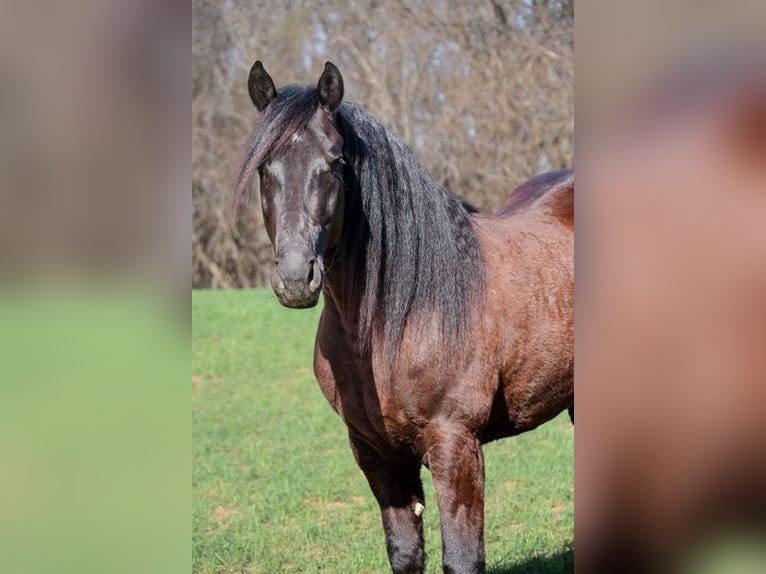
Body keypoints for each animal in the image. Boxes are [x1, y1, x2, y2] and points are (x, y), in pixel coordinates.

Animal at [233, 60, 574, 574]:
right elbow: (406, 554)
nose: (295, 277)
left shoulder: (456, 446)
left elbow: (462, 559)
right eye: (263, 168)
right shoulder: (376, 454)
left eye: (335, 161)